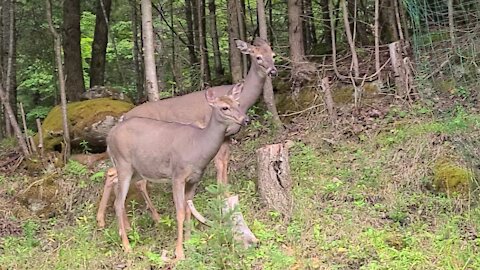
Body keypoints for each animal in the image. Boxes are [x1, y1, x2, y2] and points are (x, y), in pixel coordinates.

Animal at [97, 37, 278, 230]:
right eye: (258, 57)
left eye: (273, 54)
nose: (273, 71)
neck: (242, 101)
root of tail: (123, 117)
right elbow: (220, 164)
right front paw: (222, 196)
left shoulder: (227, 137)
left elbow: (224, 163)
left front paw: (226, 193)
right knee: (136, 181)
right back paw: (149, 219)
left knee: (112, 174)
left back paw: (106, 220)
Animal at [105, 83, 248, 258]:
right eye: (224, 107)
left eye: (238, 104)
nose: (245, 119)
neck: (198, 145)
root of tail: (109, 136)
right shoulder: (177, 176)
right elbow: (179, 211)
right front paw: (179, 252)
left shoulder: (194, 179)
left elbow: (187, 210)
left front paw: (189, 242)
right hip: (123, 162)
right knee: (118, 202)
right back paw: (127, 246)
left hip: (135, 170)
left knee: (116, 185)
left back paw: (122, 229)